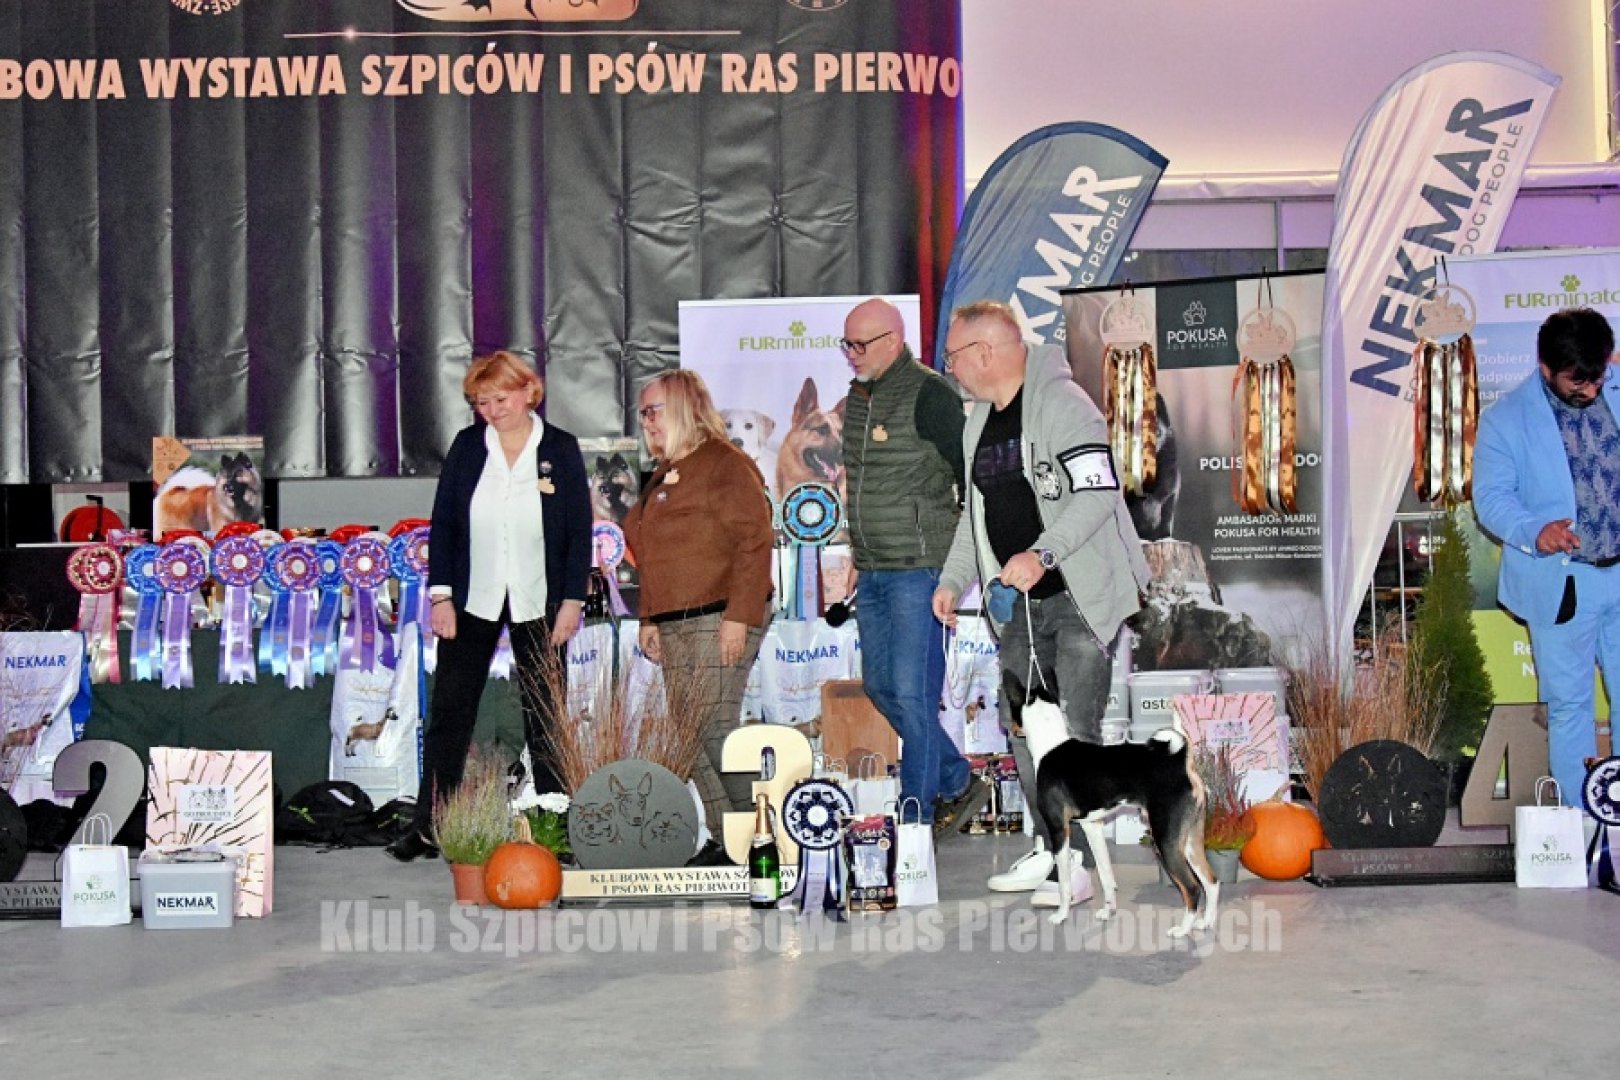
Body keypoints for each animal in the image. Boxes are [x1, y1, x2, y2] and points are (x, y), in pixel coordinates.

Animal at [1007, 670, 1217, 938]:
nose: (1009, 729)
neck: (1050, 745)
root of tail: (1180, 761)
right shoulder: (1093, 827)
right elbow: (1106, 876)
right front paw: (1108, 911)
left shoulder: (1059, 829)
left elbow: (1064, 882)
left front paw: (1061, 915)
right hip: (1189, 839)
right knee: (1211, 880)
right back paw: (1206, 922)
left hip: (1167, 841)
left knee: (1192, 887)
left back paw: (1182, 930)